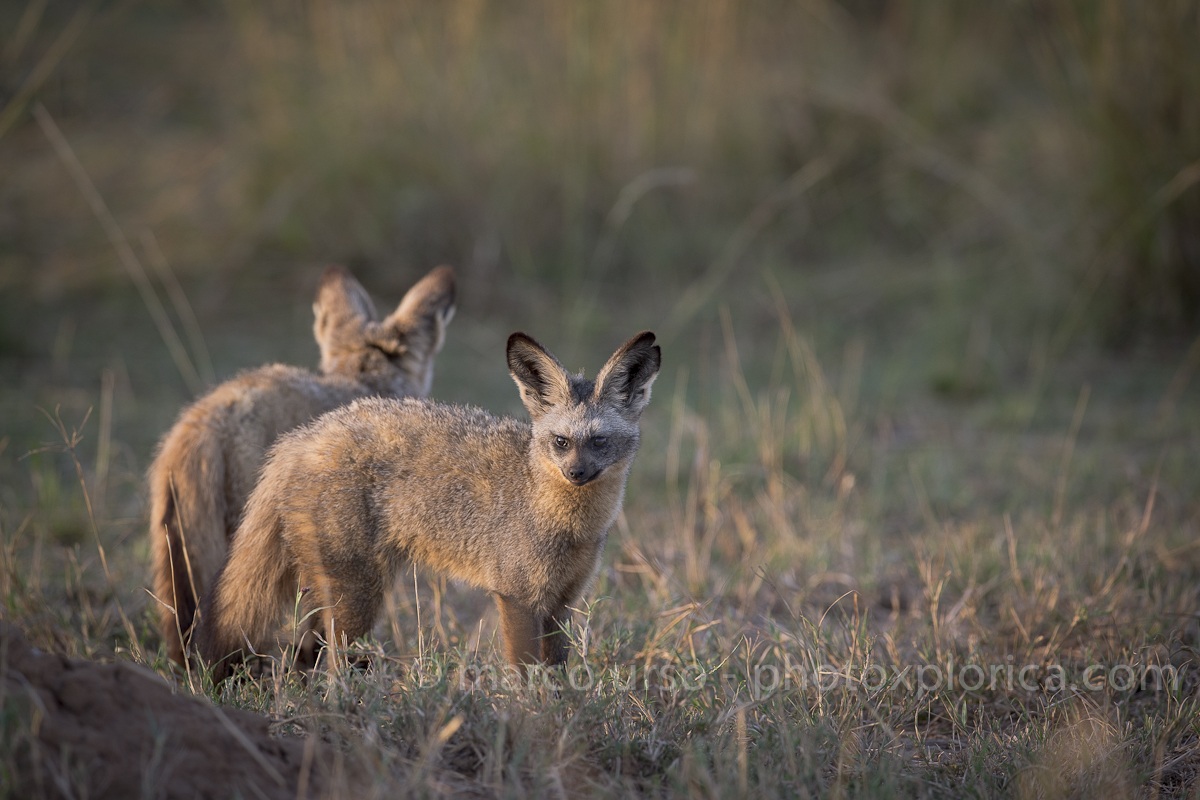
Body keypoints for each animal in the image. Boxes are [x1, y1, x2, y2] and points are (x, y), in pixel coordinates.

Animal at [194, 330, 661, 682]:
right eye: (561, 442)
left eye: (599, 441)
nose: (576, 473)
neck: (566, 524)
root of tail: (301, 438)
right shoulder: (517, 598)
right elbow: (528, 676)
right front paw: (536, 721)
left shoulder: (563, 603)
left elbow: (557, 674)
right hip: (357, 599)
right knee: (328, 661)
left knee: (307, 653)